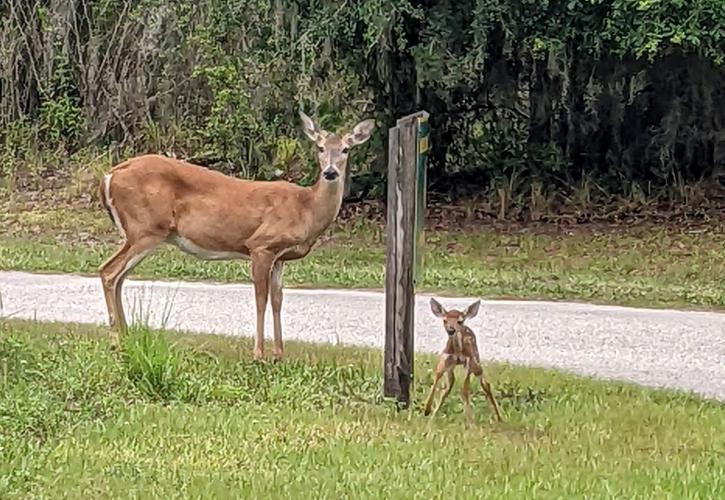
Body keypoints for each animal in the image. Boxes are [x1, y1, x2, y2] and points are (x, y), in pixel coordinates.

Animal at [99, 111, 376, 360]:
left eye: (346, 149)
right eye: (319, 147)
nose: (330, 172)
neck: (306, 207)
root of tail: (110, 175)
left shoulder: (280, 258)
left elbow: (278, 300)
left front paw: (279, 354)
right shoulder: (261, 245)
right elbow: (261, 298)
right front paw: (259, 354)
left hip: (140, 232)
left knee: (119, 277)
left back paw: (126, 337)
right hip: (145, 228)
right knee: (109, 272)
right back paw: (115, 342)